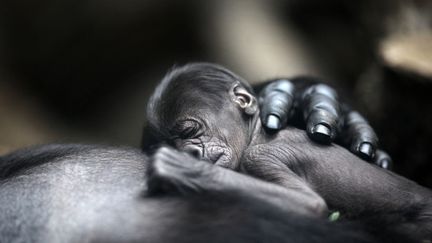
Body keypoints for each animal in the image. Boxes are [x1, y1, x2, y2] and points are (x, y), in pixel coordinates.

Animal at [147, 63, 432, 239]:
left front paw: (181, 170)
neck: (256, 134)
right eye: (173, 143)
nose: (189, 153)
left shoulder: (258, 157)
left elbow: (309, 204)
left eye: (188, 132)